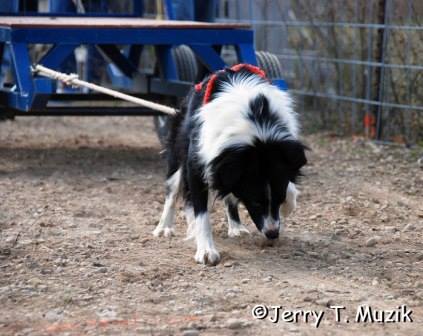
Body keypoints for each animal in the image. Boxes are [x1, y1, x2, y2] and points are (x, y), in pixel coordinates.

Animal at [154, 64, 306, 264]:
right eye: (255, 202)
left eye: (278, 199)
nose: (272, 234)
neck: (256, 120)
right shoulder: (198, 161)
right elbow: (201, 211)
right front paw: (206, 251)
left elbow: (289, 189)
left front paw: (288, 206)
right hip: (178, 147)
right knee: (172, 191)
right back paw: (164, 228)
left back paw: (236, 227)